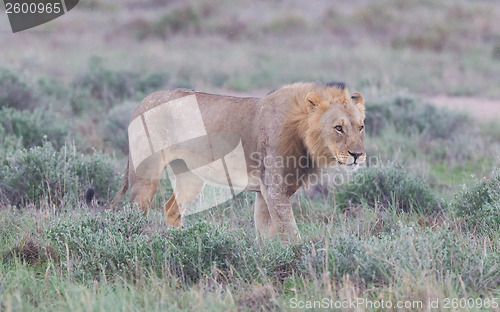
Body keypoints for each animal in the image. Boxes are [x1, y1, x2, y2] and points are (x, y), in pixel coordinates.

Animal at [88, 81, 366, 243]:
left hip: (190, 176)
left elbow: (266, 230)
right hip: (145, 175)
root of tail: (141, 102)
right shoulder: (275, 189)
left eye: (361, 127)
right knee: (134, 214)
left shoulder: (265, 192)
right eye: (338, 127)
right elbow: (290, 232)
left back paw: (181, 243)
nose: (358, 155)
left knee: (171, 208)